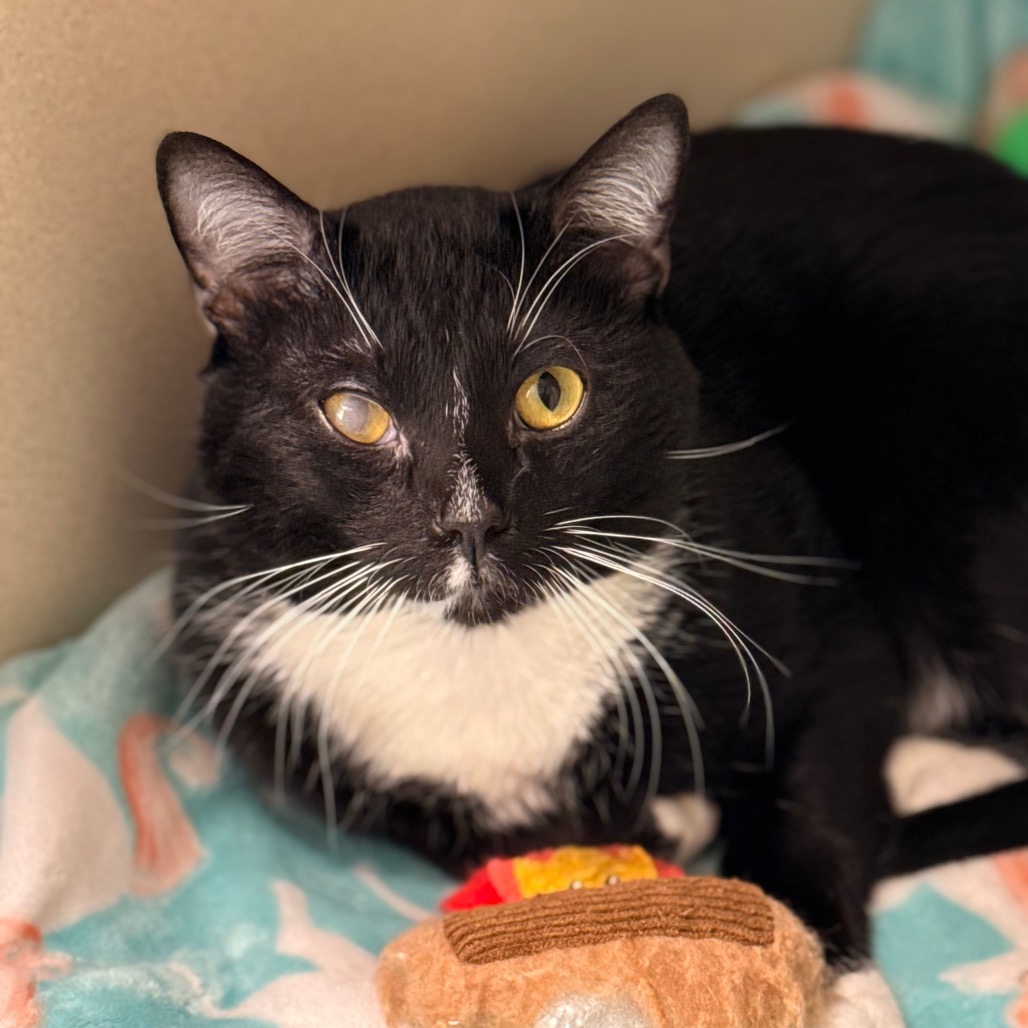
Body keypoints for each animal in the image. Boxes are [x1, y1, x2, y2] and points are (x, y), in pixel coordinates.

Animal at [156, 94, 1028, 1014]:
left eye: (551, 394)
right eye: (353, 413)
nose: (470, 522)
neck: (479, 655)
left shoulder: (820, 621)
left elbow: (809, 793)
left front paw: (837, 989)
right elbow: (451, 827)